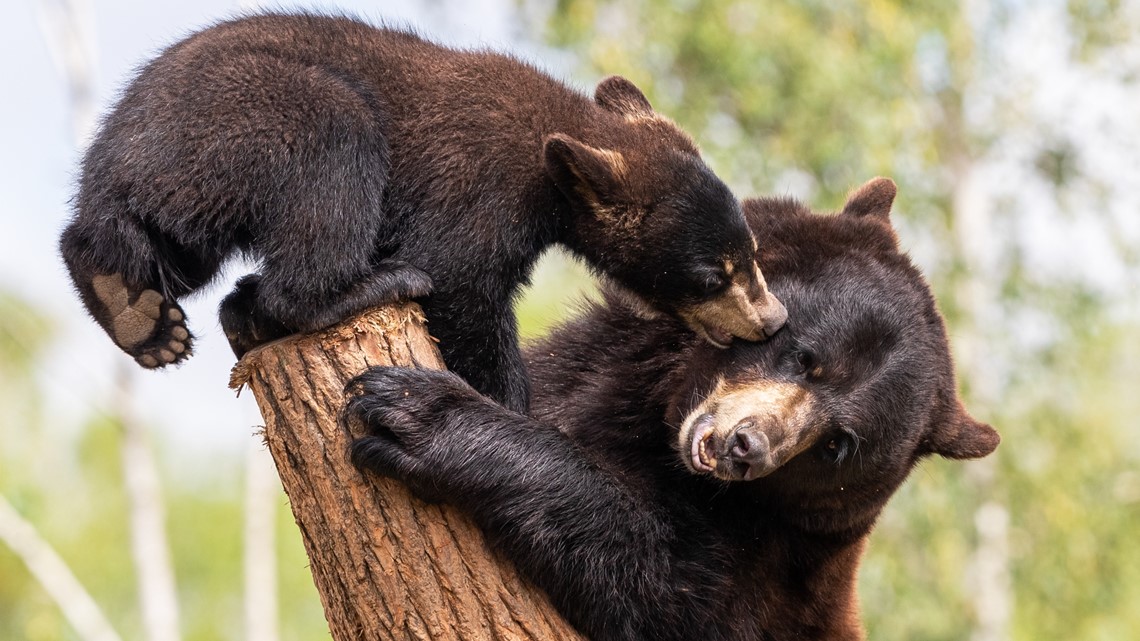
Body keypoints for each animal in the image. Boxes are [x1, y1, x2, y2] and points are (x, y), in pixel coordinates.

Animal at [57, 12, 786, 414]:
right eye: (712, 274)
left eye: (749, 251)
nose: (770, 318)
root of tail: (110, 156)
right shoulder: (478, 189)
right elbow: (460, 282)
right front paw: (511, 404)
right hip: (254, 116)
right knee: (332, 149)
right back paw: (358, 287)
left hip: (187, 187)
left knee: (156, 247)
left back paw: (139, 312)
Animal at [345, 177, 1001, 641]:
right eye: (806, 357)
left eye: (839, 444)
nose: (746, 447)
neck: (661, 419)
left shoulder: (770, 571)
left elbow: (661, 583)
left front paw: (418, 414)